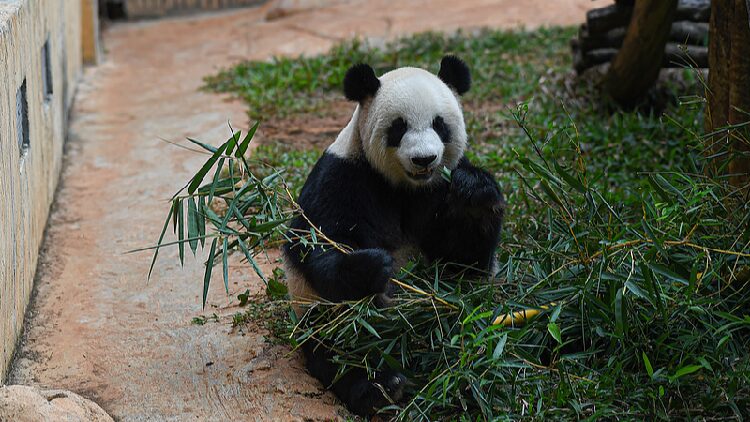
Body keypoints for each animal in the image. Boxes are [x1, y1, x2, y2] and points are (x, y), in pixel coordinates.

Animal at [283, 56, 504, 416]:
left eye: (440, 125)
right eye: (399, 127)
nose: (424, 159)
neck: (405, 186)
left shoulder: (437, 189)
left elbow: (463, 261)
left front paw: (475, 194)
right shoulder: (345, 177)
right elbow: (315, 244)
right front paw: (373, 267)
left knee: (471, 328)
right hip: (325, 320)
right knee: (344, 346)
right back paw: (381, 386)